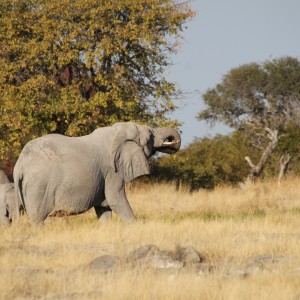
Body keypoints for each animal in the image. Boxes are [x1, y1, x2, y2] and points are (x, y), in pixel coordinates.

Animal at [13, 121, 180, 223]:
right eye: (150, 136)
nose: (172, 139)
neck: (117, 131)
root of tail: (20, 165)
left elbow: (104, 208)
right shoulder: (112, 170)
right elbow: (115, 198)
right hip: (39, 187)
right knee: (38, 219)